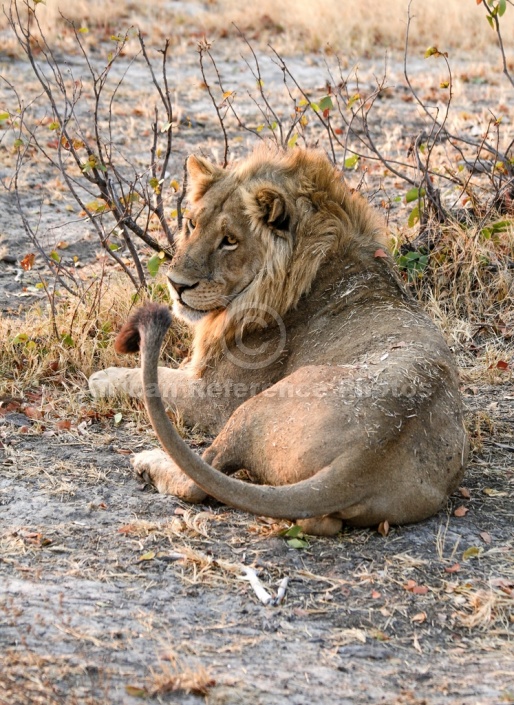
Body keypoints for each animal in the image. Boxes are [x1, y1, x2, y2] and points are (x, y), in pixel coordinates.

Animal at [89, 147, 468, 532]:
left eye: (230, 240)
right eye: (192, 224)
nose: (176, 284)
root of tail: (366, 455)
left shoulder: (214, 397)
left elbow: (156, 379)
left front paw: (103, 377)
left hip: (248, 409)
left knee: (202, 474)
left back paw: (147, 462)